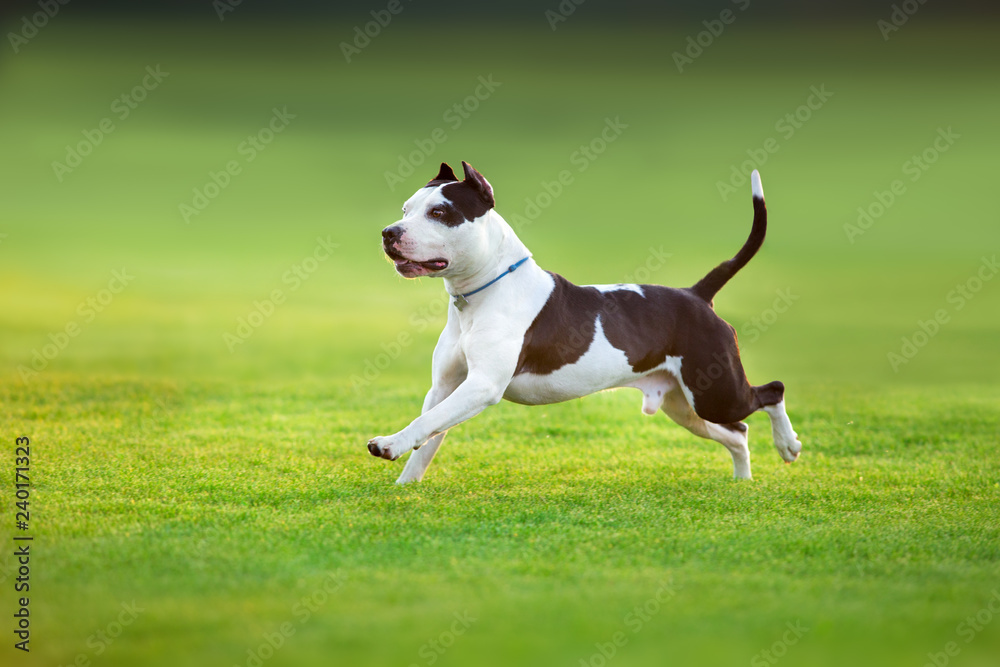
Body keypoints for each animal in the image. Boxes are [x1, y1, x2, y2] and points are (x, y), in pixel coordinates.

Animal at [372, 162, 800, 486]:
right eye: (407, 209)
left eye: (440, 213)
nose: (389, 232)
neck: (480, 294)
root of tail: (696, 295)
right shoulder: (446, 386)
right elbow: (430, 432)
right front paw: (404, 486)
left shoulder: (481, 386)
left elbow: (426, 422)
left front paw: (389, 444)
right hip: (687, 405)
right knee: (738, 432)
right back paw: (742, 481)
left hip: (716, 390)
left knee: (773, 391)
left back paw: (788, 445)